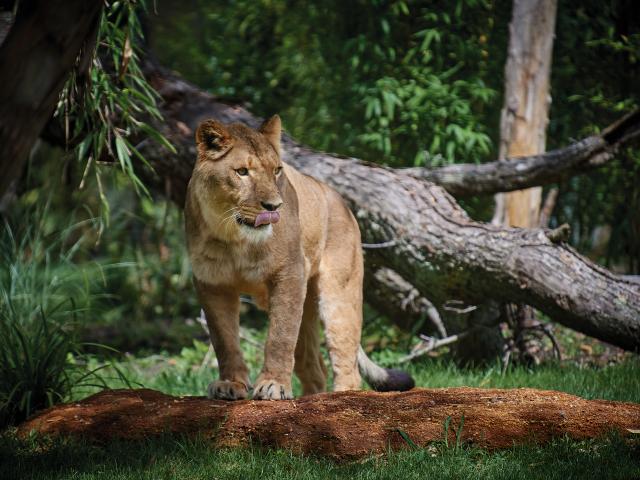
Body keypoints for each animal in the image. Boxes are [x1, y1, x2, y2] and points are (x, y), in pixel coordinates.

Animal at [185, 114, 416, 400]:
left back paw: (341, 397)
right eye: (242, 172)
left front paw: (273, 385)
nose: (274, 206)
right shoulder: (212, 283)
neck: (235, 238)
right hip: (304, 307)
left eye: (276, 170)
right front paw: (230, 384)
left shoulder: (289, 274)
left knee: (347, 364)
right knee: (315, 368)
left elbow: (280, 336)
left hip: (339, 296)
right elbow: (224, 340)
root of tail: (342, 203)